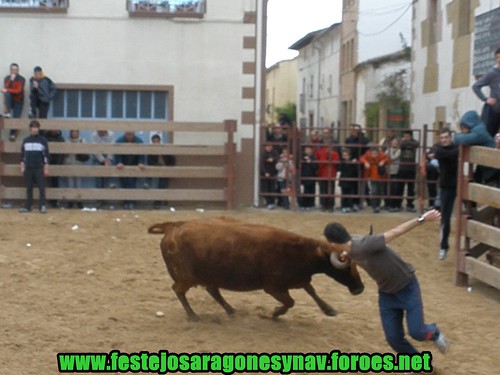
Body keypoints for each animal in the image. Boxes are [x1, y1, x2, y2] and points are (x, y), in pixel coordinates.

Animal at [148, 219, 364, 322]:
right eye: (346, 267)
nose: (360, 288)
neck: (302, 252)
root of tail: (172, 226)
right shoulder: (274, 287)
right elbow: (290, 302)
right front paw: (274, 313)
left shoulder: (299, 279)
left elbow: (311, 290)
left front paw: (329, 309)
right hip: (187, 277)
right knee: (179, 290)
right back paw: (193, 316)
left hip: (210, 275)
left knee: (213, 290)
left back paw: (231, 310)